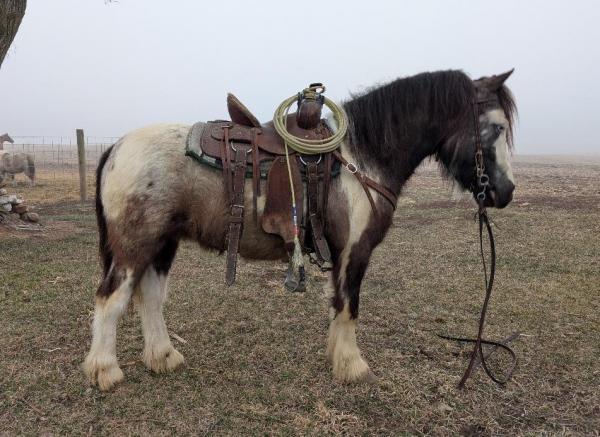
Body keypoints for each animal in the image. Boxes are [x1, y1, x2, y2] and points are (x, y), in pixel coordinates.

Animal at [84, 69, 517, 391]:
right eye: (496, 127)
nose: (507, 191)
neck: (362, 160)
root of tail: (117, 147)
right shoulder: (355, 251)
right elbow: (350, 304)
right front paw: (353, 365)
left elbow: (338, 304)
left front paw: (338, 357)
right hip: (135, 245)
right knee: (111, 299)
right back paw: (105, 371)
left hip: (162, 243)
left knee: (150, 297)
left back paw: (164, 357)